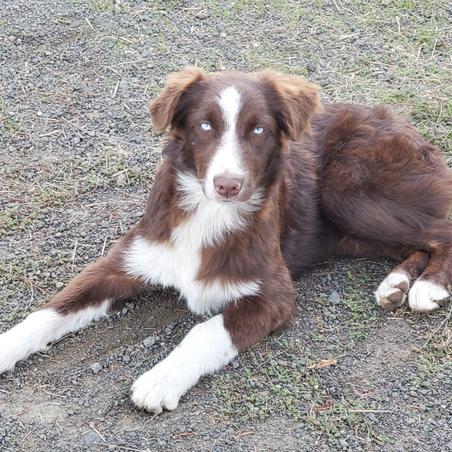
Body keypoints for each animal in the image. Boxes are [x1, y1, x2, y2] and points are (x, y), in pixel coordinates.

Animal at [1, 68, 451, 414]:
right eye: (204, 126)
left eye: (259, 129)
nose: (228, 185)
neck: (207, 211)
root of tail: (396, 118)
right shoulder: (123, 263)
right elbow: (52, 310)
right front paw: (6, 347)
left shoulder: (274, 295)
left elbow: (206, 331)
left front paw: (160, 379)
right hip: (349, 226)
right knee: (417, 243)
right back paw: (396, 283)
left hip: (349, 192)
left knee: (441, 231)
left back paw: (427, 286)